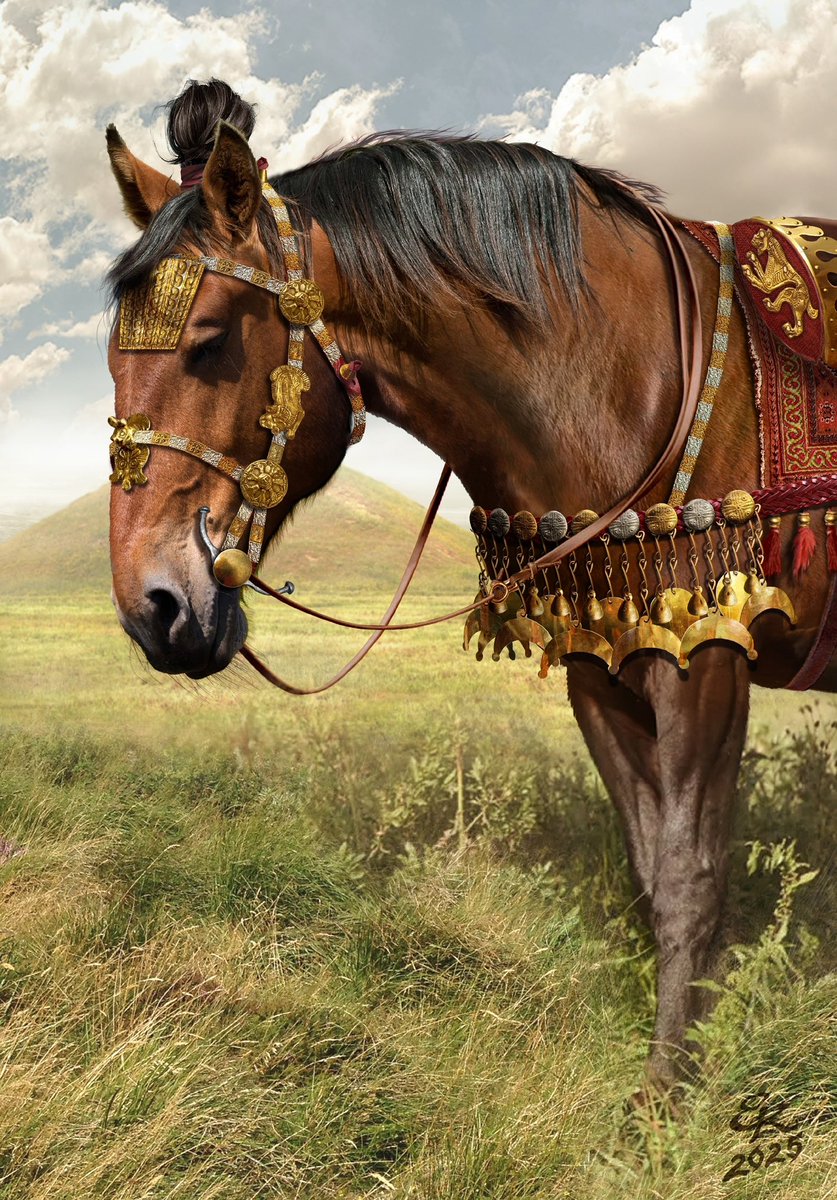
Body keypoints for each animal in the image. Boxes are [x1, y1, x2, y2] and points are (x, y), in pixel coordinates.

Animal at [104, 85, 836, 1099]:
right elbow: (651, 868)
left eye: (210, 345)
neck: (623, 366)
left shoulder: (705, 653)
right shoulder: (602, 662)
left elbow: (690, 874)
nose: (153, 608)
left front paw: (668, 1095)